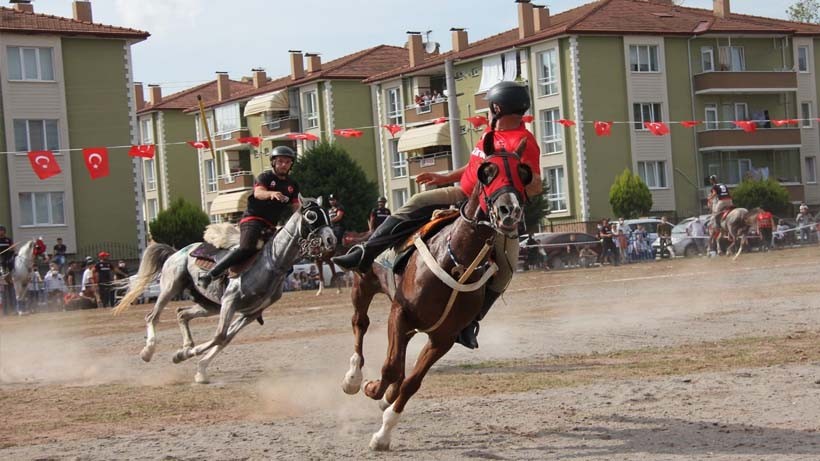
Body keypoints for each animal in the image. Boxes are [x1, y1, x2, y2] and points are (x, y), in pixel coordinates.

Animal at [113, 196, 336, 382]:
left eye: (328, 214)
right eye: (312, 215)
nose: (331, 240)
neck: (271, 263)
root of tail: (176, 251)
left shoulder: (250, 313)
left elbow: (225, 339)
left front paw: (196, 365)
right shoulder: (230, 301)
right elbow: (220, 336)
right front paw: (186, 356)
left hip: (209, 305)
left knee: (181, 314)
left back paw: (186, 345)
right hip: (171, 287)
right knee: (152, 317)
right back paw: (148, 351)